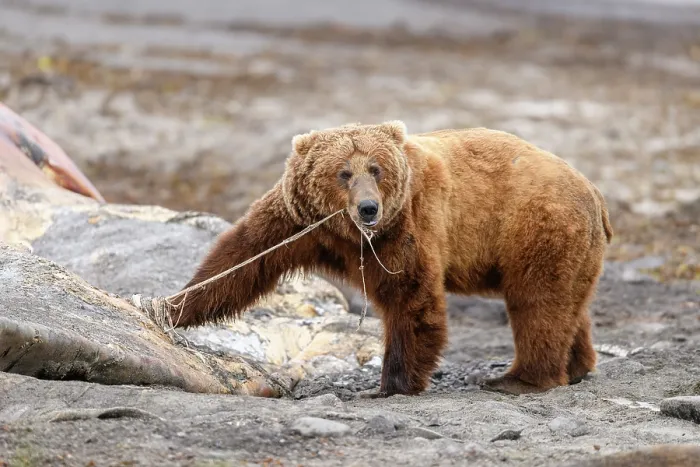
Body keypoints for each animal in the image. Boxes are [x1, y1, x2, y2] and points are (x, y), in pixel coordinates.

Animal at [169, 121, 613, 397]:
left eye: (376, 168)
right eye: (343, 172)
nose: (368, 208)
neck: (350, 234)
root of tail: (594, 191)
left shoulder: (407, 223)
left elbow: (409, 298)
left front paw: (389, 384)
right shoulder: (297, 221)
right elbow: (241, 260)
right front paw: (174, 307)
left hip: (536, 228)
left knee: (537, 304)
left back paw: (517, 379)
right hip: (571, 245)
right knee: (568, 305)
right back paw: (577, 366)